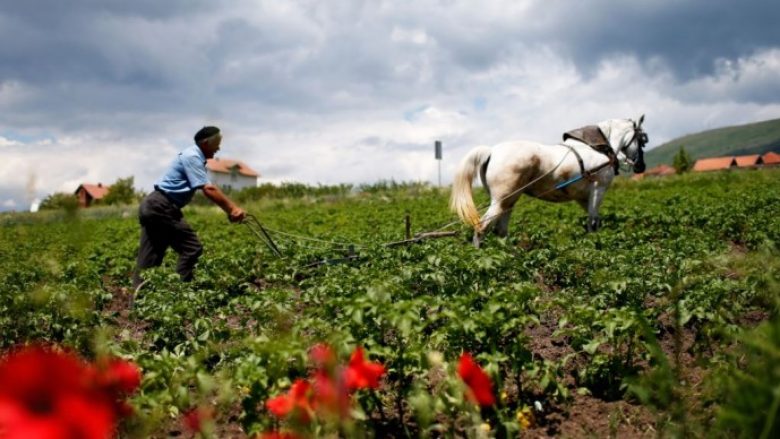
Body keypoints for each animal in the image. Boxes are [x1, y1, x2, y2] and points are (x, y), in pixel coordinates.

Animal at [450, 117, 644, 248]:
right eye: (642, 139)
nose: (641, 166)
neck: (596, 148)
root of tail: (491, 151)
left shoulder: (583, 197)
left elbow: (594, 221)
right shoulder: (599, 189)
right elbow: (593, 222)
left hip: (509, 200)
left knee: (500, 230)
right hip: (501, 200)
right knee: (481, 227)